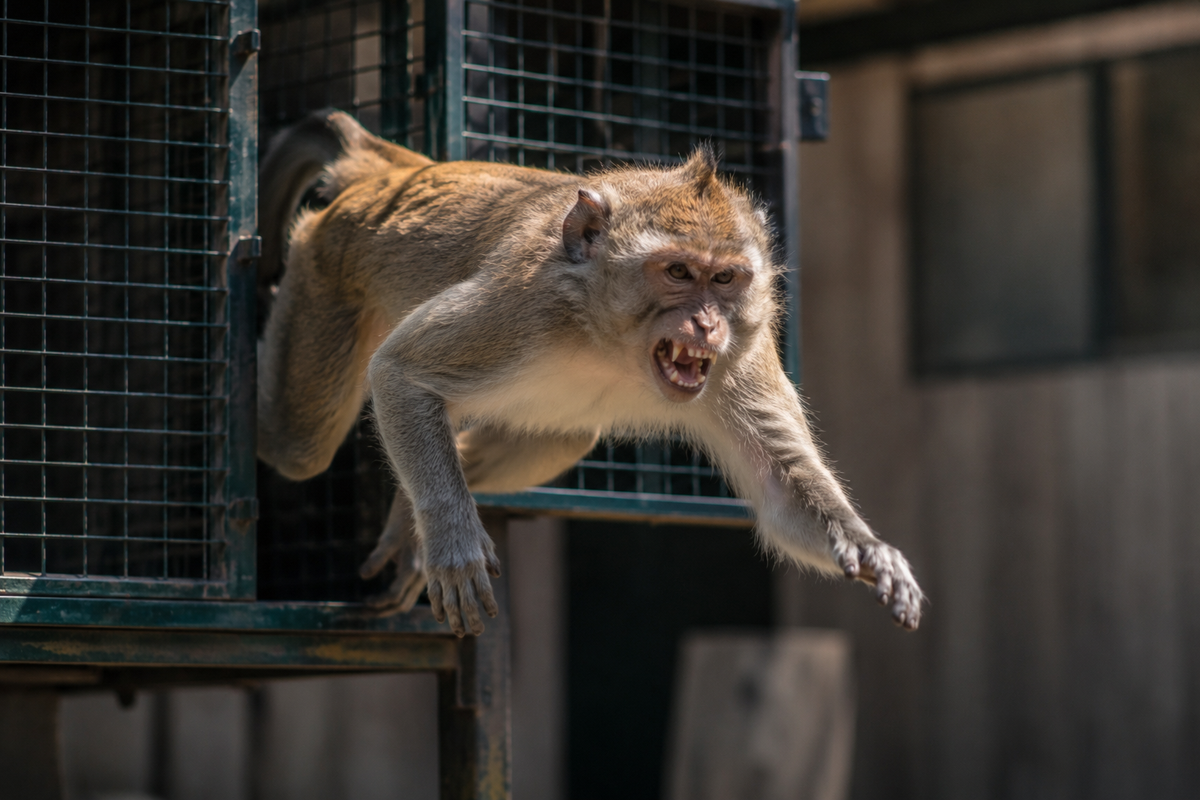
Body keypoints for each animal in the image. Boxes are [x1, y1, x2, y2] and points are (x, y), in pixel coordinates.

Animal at [257, 110, 924, 637]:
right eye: (678, 272)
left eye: (725, 278)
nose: (708, 324)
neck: (609, 340)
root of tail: (396, 174)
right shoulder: (521, 303)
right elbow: (402, 372)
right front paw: (452, 543)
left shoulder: (744, 354)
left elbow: (783, 491)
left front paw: (868, 551)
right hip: (326, 265)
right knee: (297, 447)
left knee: (564, 436)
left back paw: (408, 515)